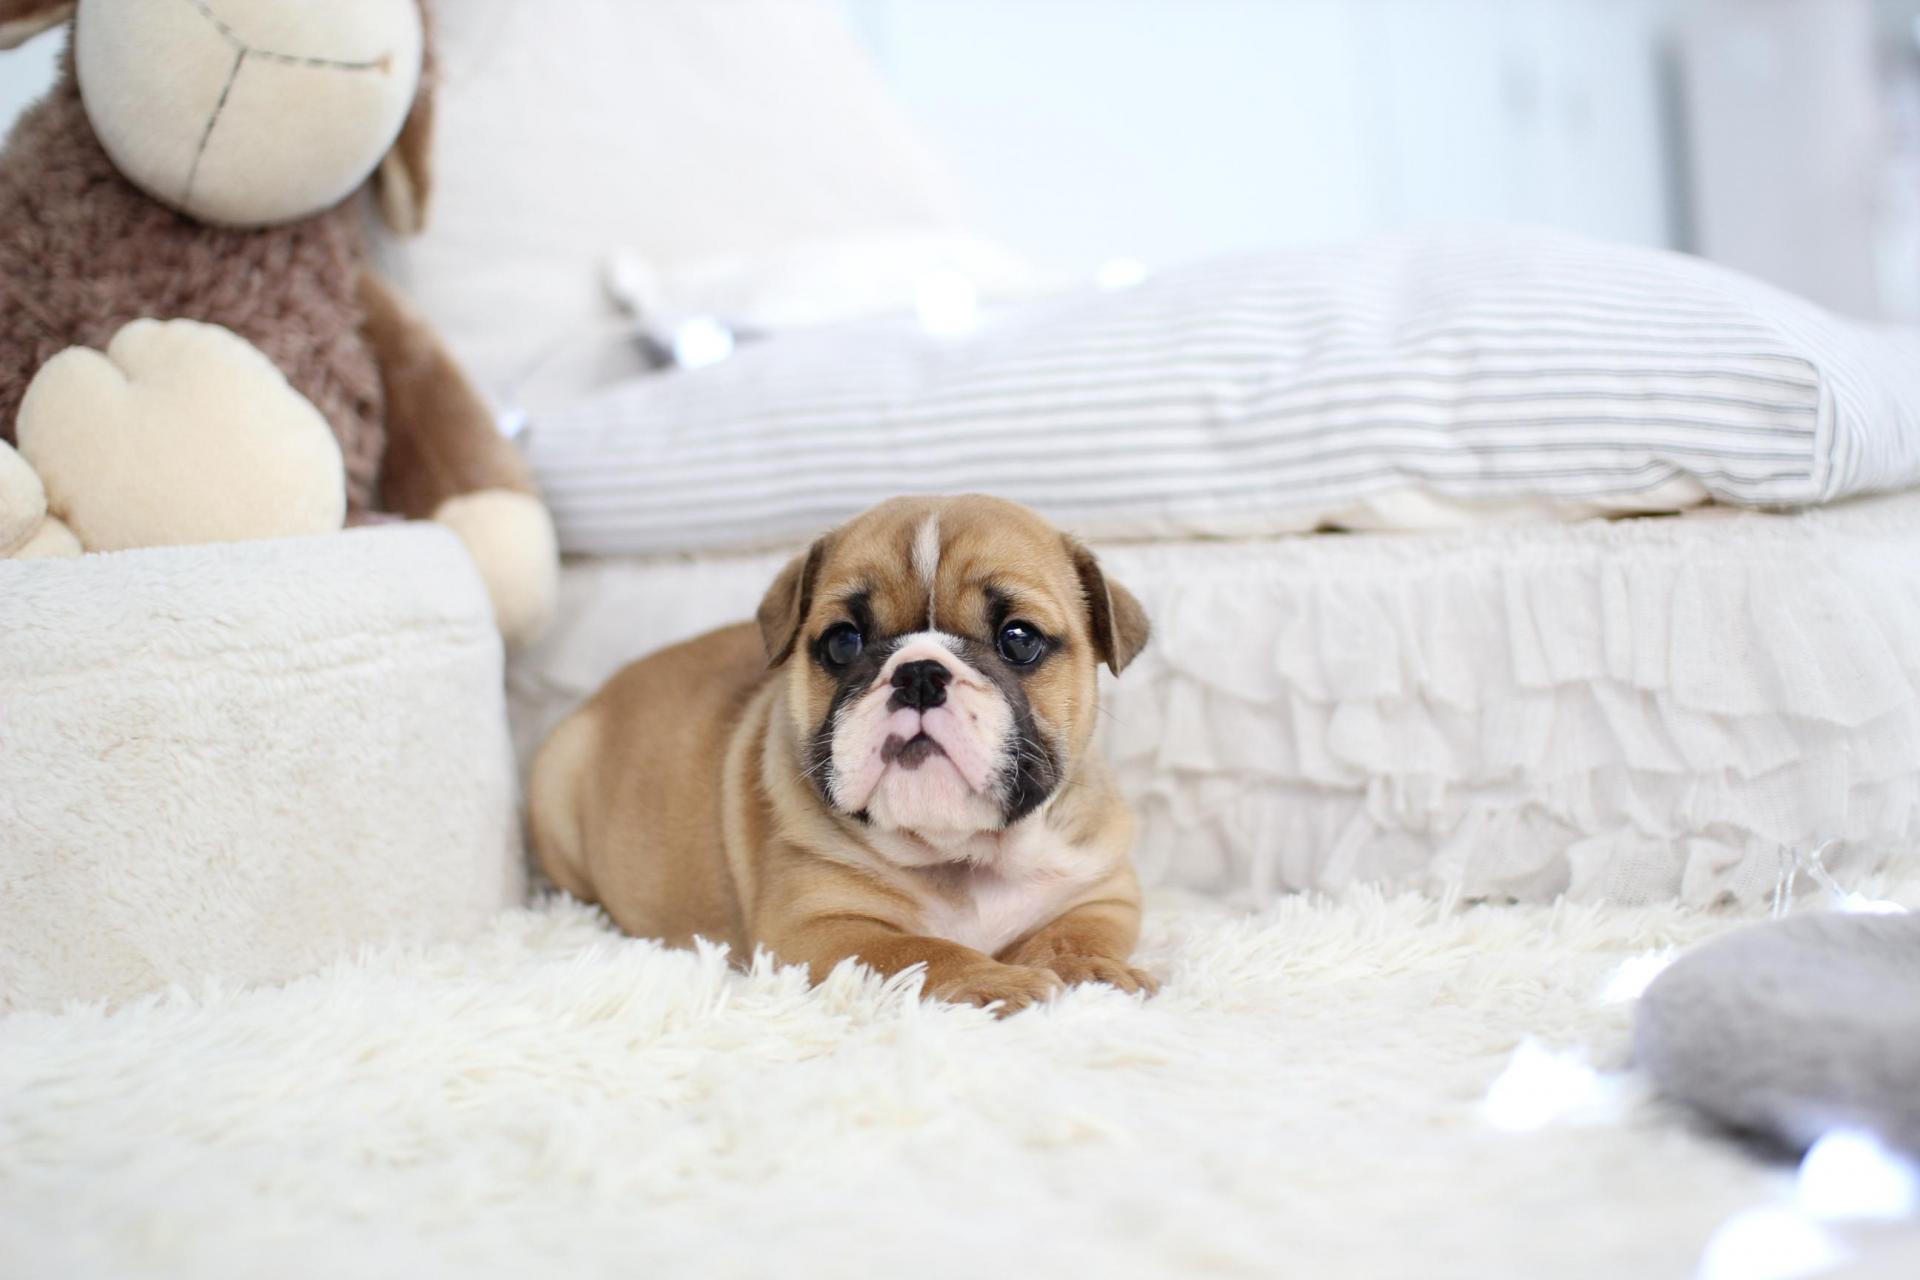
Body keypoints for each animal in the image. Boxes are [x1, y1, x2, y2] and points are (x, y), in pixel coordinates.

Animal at [528, 494, 1155, 1013]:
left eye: (1019, 639)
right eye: (842, 642)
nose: (920, 674)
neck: (961, 854)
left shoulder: (1101, 892)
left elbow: (1074, 934)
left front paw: (1094, 971)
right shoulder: (822, 928)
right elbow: (922, 951)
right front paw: (996, 980)